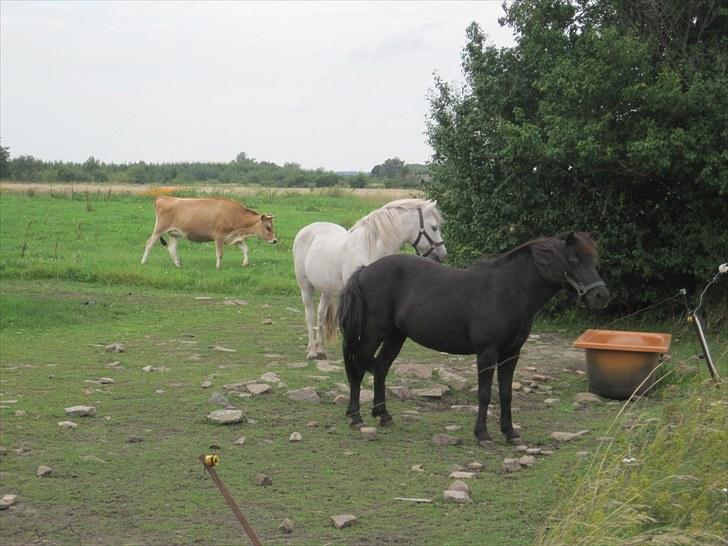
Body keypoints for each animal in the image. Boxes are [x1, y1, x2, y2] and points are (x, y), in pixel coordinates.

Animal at [141, 198, 278, 270]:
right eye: (268, 227)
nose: (275, 240)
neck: (236, 215)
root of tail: (162, 198)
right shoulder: (219, 236)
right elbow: (220, 254)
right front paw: (218, 267)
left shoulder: (235, 238)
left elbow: (246, 249)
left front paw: (245, 263)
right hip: (159, 229)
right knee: (149, 243)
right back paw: (143, 262)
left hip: (175, 233)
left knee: (171, 248)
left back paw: (178, 264)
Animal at [292, 198, 446, 360]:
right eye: (434, 227)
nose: (442, 255)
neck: (370, 248)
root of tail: (306, 230)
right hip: (305, 286)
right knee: (310, 315)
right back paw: (312, 351)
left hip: (326, 290)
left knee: (321, 315)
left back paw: (320, 350)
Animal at [342, 231, 608, 442]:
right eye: (573, 260)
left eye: (593, 259)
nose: (601, 297)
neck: (508, 291)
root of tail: (364, 272)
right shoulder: (487, 352)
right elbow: (485, 393)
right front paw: (482, 433)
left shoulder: (512, 353)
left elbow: (506, 393)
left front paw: (509, 432)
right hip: (373, 334)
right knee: (358, 367)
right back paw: (355, 416)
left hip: (396, 336)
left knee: (380, 368)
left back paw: (384, 415)